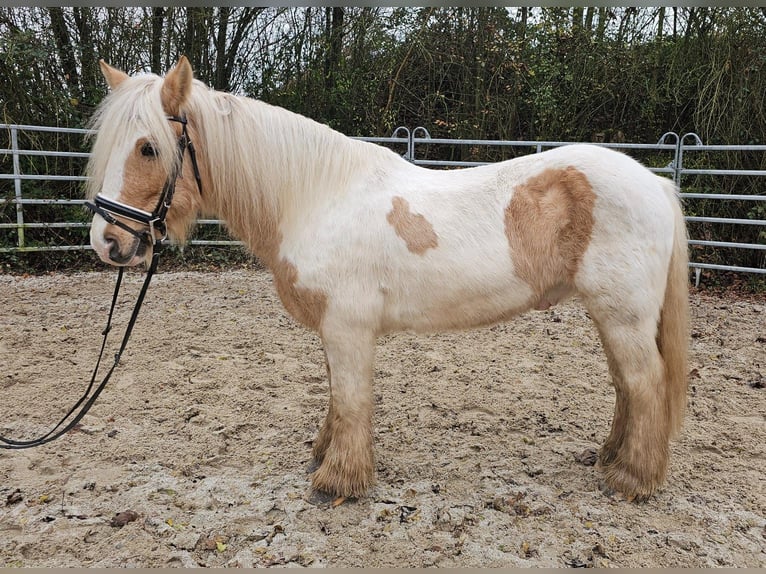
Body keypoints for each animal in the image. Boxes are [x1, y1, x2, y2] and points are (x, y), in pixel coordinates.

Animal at [87, 55, 692, 504]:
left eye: (148, 147)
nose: (108, 243)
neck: (315, 196)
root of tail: (656, 184)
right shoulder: (334, 328)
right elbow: (336, 394)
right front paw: (324, 456)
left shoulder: (348, 326)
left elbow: (353, 397)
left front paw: (338, 481)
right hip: (612, 315)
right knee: (627, 386)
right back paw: (611, 457)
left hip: (622, 314)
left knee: (645, 383)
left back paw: (632, 480)